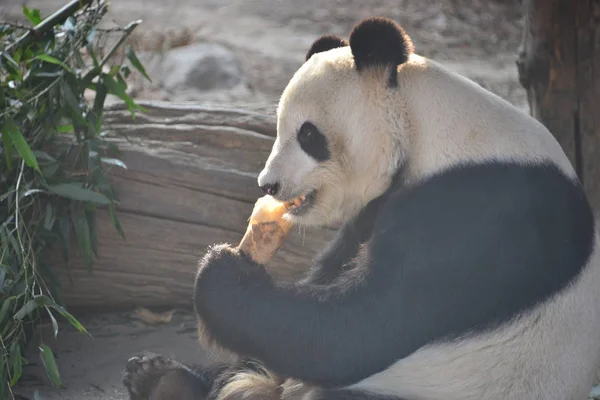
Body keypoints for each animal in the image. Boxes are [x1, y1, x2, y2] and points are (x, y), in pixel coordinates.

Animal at [120, 15, 600, 400]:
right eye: (277, 128)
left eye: (308, 135)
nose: (268, 184)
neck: (432, 127)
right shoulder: (382, 200)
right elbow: (333, 271)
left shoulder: (480, 208)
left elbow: (367, 322)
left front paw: (221, 274)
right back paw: (161, 378)